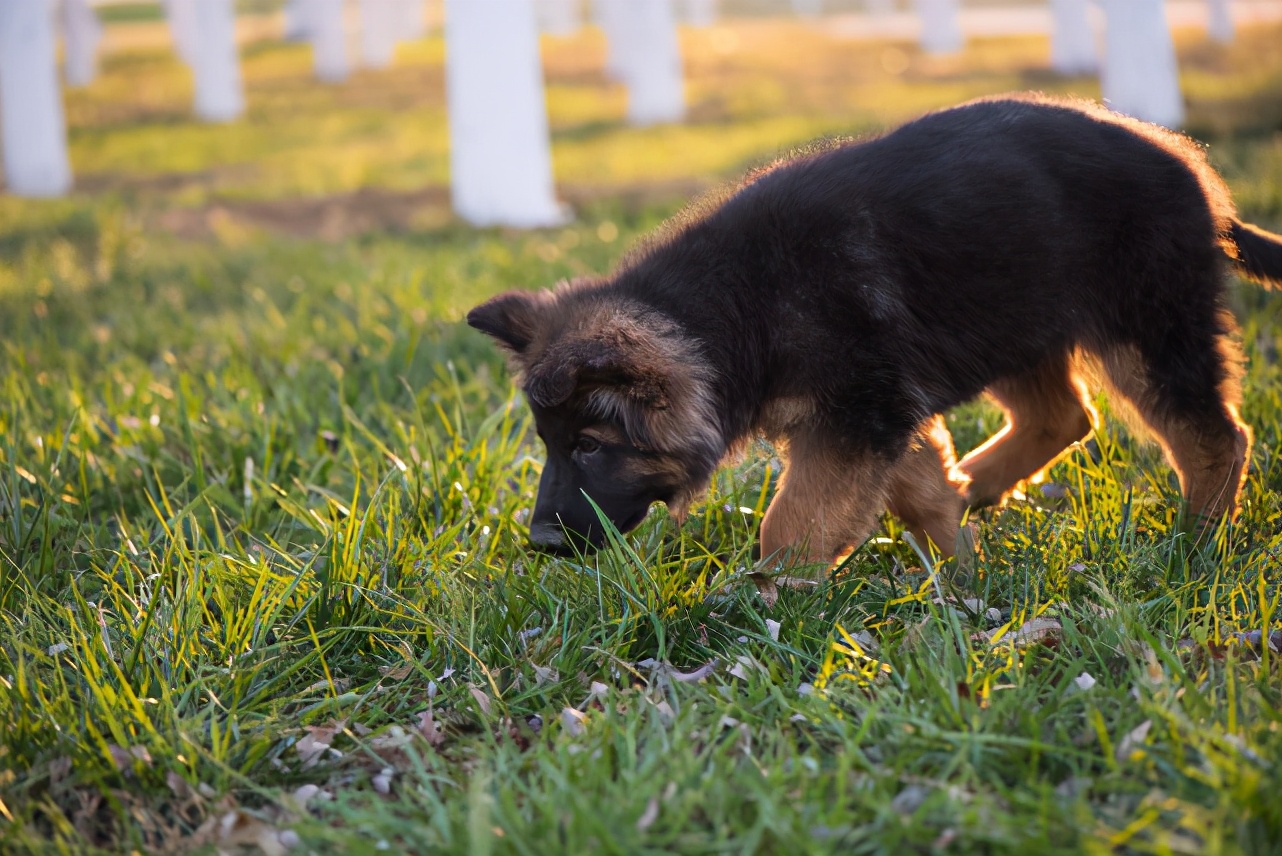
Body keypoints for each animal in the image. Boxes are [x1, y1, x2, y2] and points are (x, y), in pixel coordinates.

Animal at [469, 93, 1282, 568]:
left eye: (590, 445)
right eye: (549, 444)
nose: (540, 544)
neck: (727, 313)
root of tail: (1191, 170)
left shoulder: (858, 412)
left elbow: (791, 522)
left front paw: (767, 607)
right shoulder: (881, 411)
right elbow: (917, 489)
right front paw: (961, 575)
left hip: (1144, 326)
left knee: (1215, 436)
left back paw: (1197, 545)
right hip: (1011, 311)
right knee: (1064, 416)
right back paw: (979, 486)